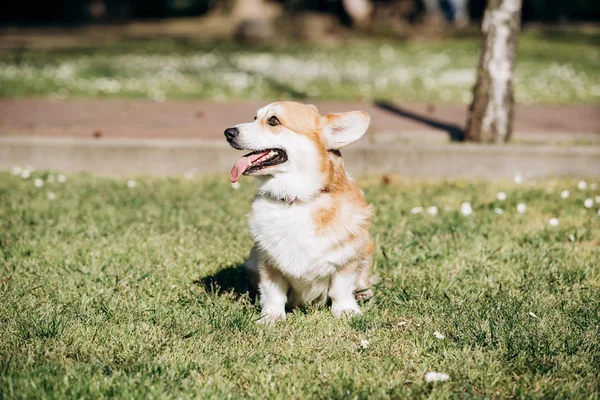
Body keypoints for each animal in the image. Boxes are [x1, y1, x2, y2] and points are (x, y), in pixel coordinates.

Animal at [225, 101, 372, 324]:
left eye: (273, 121)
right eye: (254, 118)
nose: (228, 132)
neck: (296, 199)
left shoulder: (347, 258)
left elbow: (340, 289)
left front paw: (346, 310)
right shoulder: (268, 261)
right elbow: (273, 293)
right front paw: (271, 317)